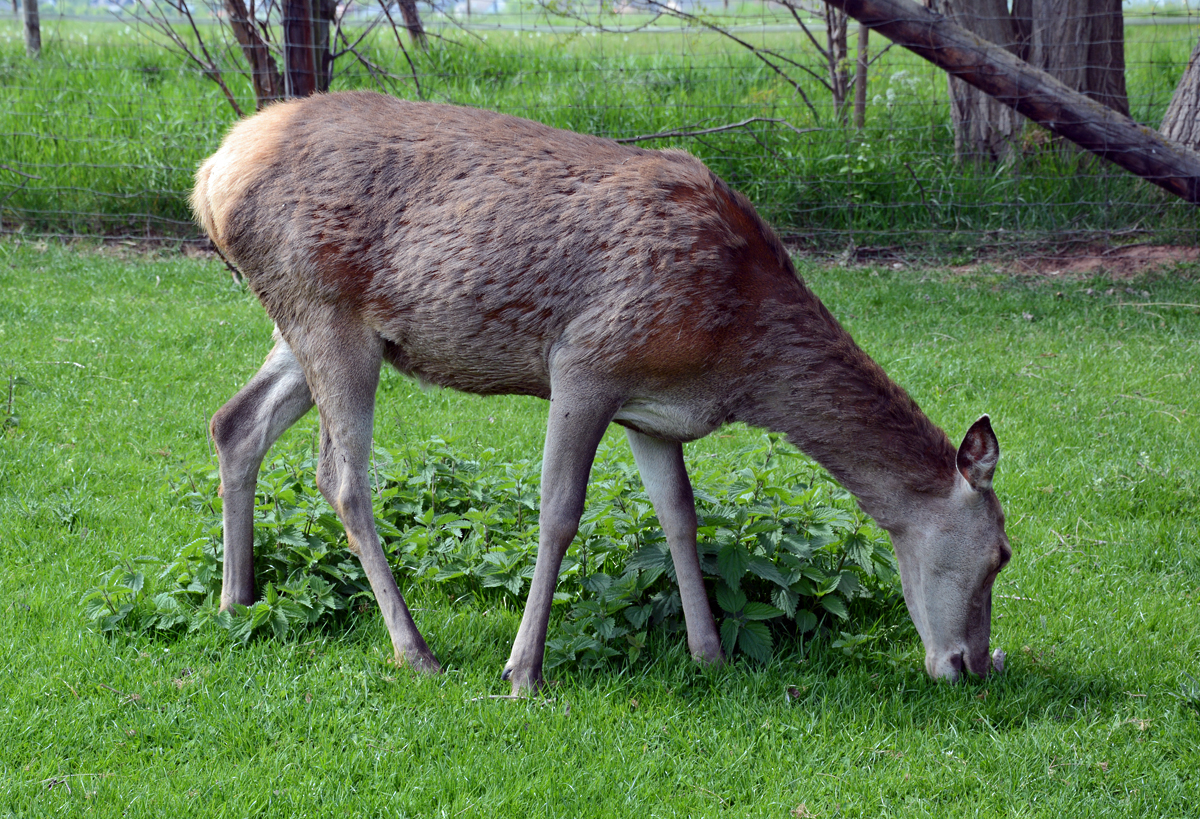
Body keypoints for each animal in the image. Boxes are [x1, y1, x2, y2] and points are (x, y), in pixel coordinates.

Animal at [192, 87, 1008, 686]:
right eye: (1000, 552)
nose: (971, 665)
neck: (736, 353)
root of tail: (209, 177)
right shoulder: (586, 360)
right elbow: (559, 512)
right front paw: (523, 669)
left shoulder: (653, 412)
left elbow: (680, 515)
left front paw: (710, 653)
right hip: (327, 313)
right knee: (341, 476)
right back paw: (415, 649)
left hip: (301, 327)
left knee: (234, 422)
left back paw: (237, 601)